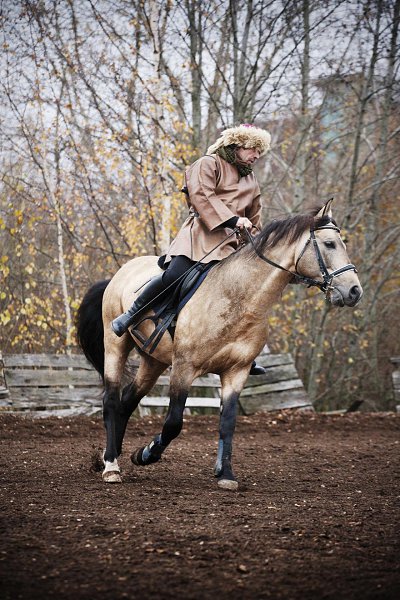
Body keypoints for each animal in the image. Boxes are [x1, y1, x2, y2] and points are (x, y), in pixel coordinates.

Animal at [77, 201, 362, 490]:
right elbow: (173, 423)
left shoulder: (237, 371)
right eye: (329, 244)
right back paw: (111, 465)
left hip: (153, 361)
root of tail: (119, 274)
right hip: (116, 346)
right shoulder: (184, 368)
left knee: (127, 402)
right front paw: (146, 453)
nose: (354, 291)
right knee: (112, 400)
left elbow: (227, 423)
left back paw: (110, 455)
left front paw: (226, 474)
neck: (238, 297)